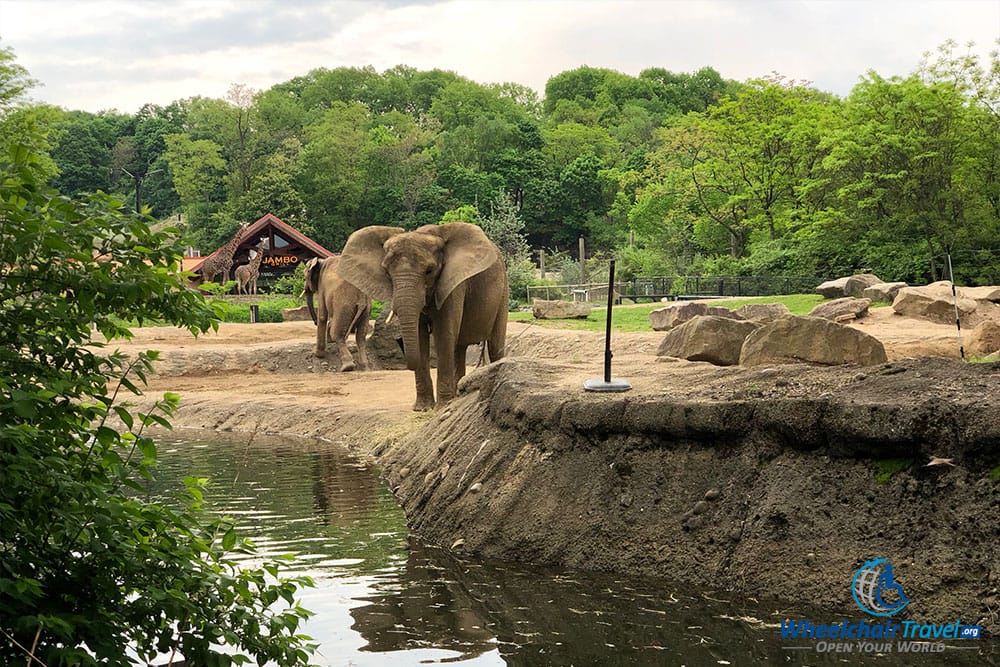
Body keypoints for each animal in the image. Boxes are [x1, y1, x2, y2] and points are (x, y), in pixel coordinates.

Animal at [337, 222, 508, 411]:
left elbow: (443, 335)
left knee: (495, 345)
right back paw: (458, 395)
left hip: (503, 291)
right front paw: (423, 408)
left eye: (429, 271)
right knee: (459, 347)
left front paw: (442, 406)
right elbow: (420, 337)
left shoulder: (453, 285)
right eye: (387, 272)